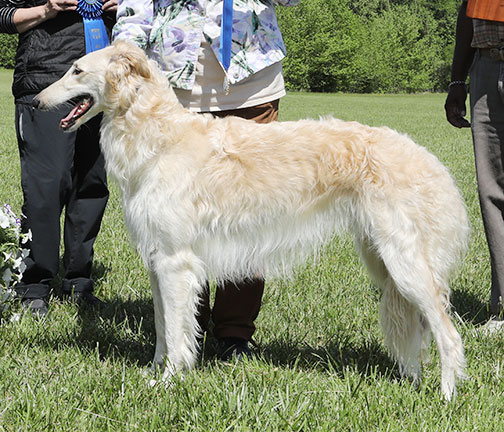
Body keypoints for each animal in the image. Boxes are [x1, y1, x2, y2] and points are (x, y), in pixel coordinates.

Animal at [34, 41, 468, 402]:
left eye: (76, 69)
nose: (35, 103)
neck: (160, 137)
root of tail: (430, 162)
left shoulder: (176, 262)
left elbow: (175, 332)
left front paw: (170, 380)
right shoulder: (158, 260)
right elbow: (161, 327)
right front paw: (154, 373)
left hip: (405, 264)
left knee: (448, 335)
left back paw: (445, 398)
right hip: (382, 261)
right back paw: (412, 382)